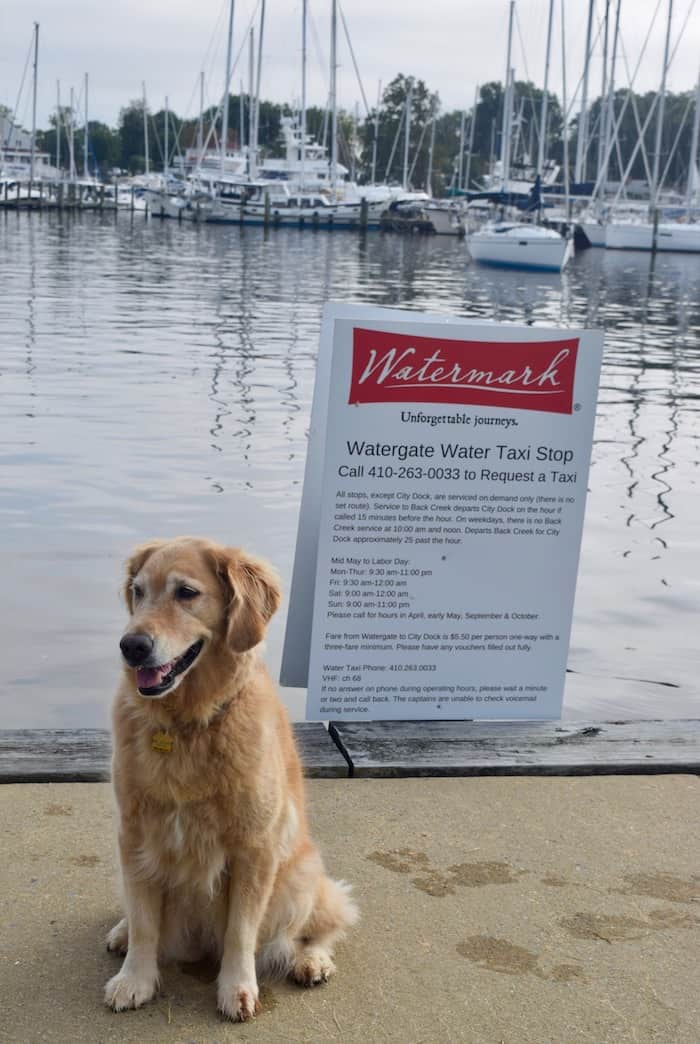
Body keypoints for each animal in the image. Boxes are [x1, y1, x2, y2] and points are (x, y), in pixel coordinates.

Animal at [107, 538, 359, 1018]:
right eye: (137, 591)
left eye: (186, 593)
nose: (131, 646)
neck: (187, 724)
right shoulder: (134, 836)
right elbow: (146, 921)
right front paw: (135, 979)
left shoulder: (254, 848)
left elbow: (240, 930)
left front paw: (236, 987)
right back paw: (121, 930)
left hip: (300, 877)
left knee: (328, 919)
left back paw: (313, 960)